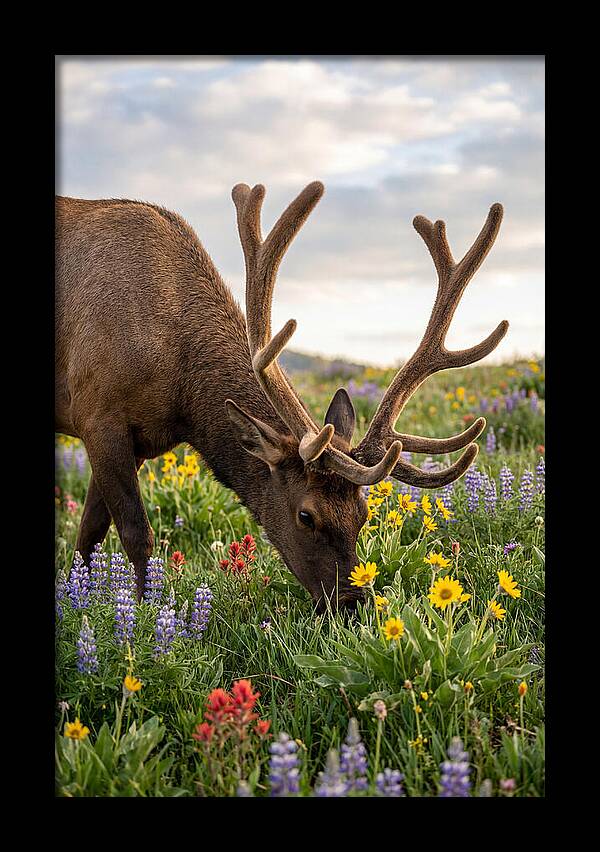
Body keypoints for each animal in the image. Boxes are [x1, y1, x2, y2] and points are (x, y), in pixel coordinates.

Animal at [55, 181, 508, 611]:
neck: (182, 394)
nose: (351, 603)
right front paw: (143, 612)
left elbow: (88, 535)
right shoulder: (98, 414)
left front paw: (80, 599)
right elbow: (135, 534)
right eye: (306, 515)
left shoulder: (139, 440)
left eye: (363, 514)